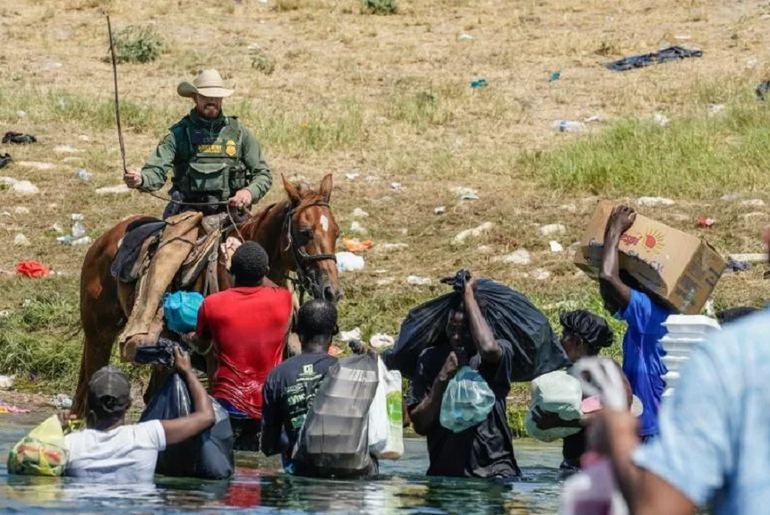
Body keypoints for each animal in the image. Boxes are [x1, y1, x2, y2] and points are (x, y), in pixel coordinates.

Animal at [73, 175, 340, 418]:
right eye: (305, 232)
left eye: (336, 233)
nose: (331, 290)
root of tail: (104, 239)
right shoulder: (216, 362)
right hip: (99, 336)